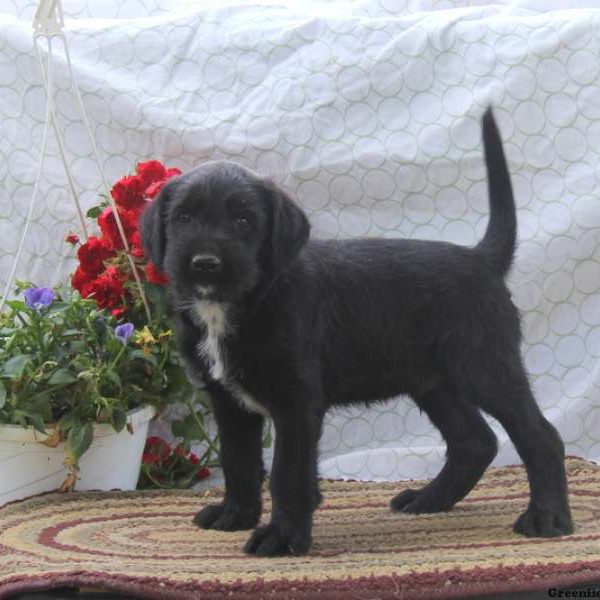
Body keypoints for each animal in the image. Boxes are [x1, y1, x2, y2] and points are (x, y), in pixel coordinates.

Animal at [141, 110, 572, 556]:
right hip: (432, 383)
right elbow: (238, 461)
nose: (205, 264)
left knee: (540, 436)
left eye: (243, 220)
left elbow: (287, 474)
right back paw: (428, 499)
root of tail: (481, 258)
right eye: (183, 217)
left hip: (486, 369)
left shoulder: (296, 404)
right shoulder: (230, 404)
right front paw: (236, 514)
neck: (241, 303)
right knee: (475, 441)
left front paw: (282, 535)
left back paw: (546, 517)